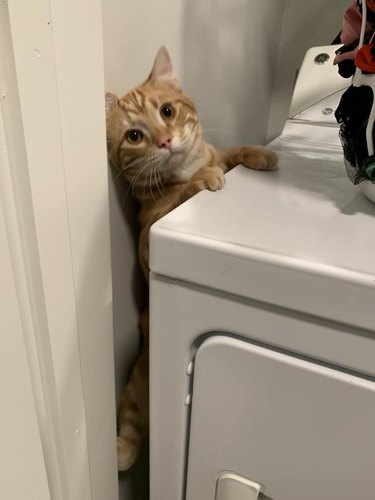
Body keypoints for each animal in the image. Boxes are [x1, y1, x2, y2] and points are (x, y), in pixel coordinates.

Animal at [106, 46, 280, 468]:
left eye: (167, 111)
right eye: (134, 136)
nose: (166, 140)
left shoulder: (219, 151)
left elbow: (233, 152)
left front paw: (260, 154)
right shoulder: (148, 237)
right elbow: (183, 192)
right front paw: (203, 180)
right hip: (134, 392)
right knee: (129, 435)